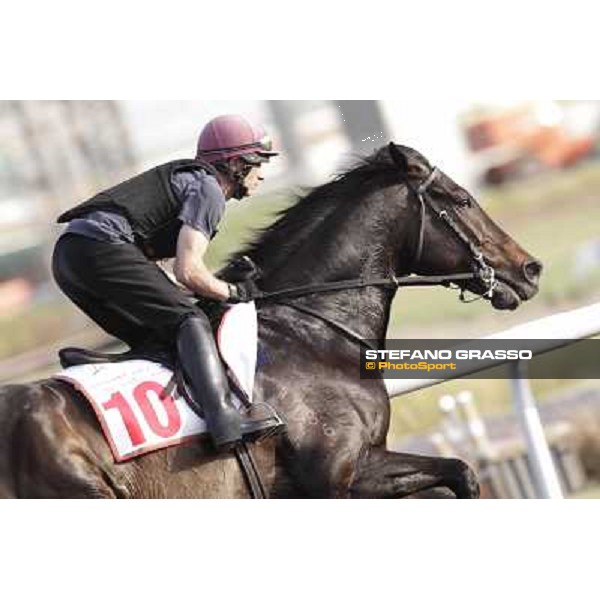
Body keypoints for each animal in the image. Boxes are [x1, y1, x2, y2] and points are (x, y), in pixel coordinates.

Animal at [0, 144, 540, 496]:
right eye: (462, 199)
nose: (530, 268)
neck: (312, 335)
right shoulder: (338, 478)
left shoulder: (361, 468)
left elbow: (461, 473)